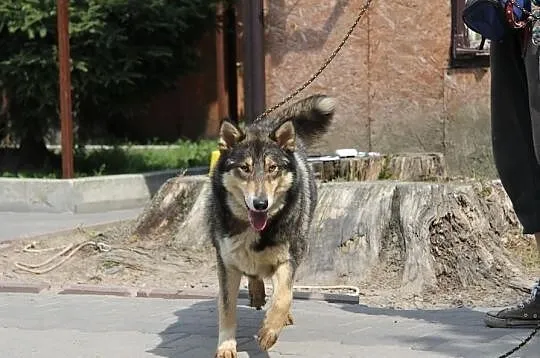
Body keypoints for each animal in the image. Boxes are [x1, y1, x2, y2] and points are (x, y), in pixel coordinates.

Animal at [208, 93, 338, 356]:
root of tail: (268, 124)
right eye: (244, 168)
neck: (255, 230)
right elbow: (226, 309)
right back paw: (257, 292)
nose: (260, 204)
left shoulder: (288, 258)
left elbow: (284, 296)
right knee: (253, 274)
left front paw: (269, 330)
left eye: (273, 168)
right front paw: (226, 346)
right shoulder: (226, 262)